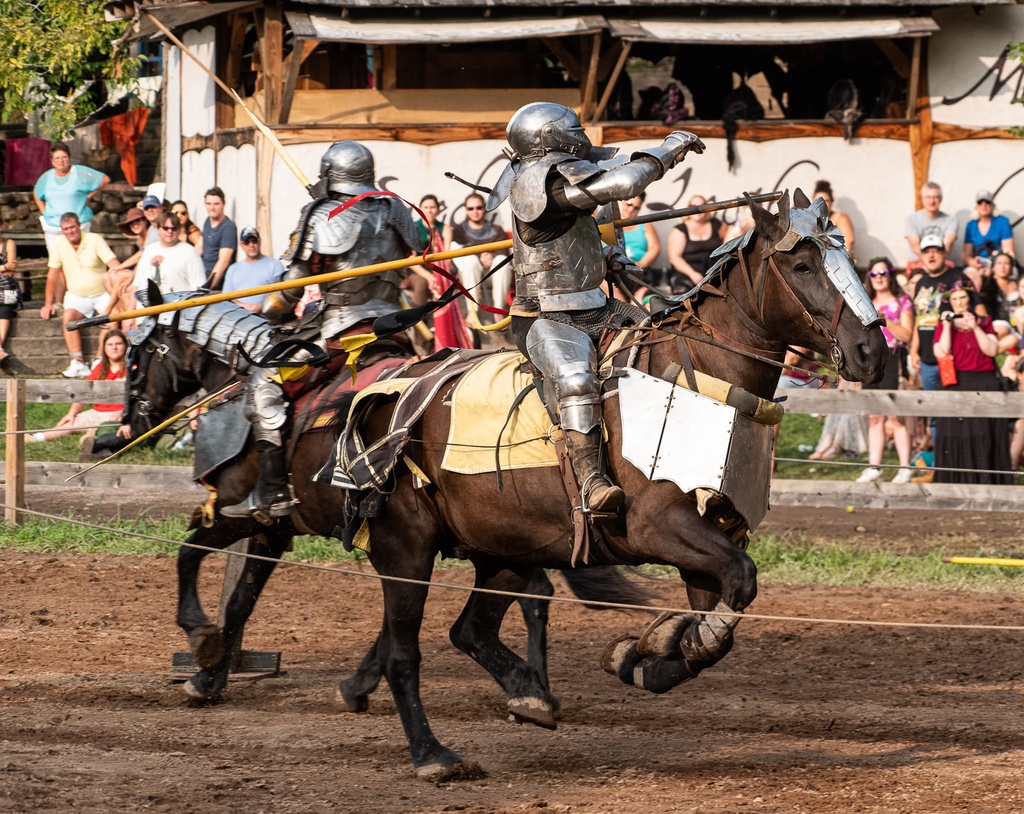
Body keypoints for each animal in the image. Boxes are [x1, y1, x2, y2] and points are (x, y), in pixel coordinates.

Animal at [321, 189, 888, 778]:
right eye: (802, 266)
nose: (873, 352)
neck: (699, 374)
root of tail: (381, 395)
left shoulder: (708, 540)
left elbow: (720, 617)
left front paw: (645, 655)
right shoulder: (661, 527)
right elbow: (742, 581)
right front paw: (654, 647)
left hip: (504, 549)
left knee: (470, 630)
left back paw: (529, 696)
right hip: (405, 549)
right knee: (403, 652)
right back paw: (432, 753)